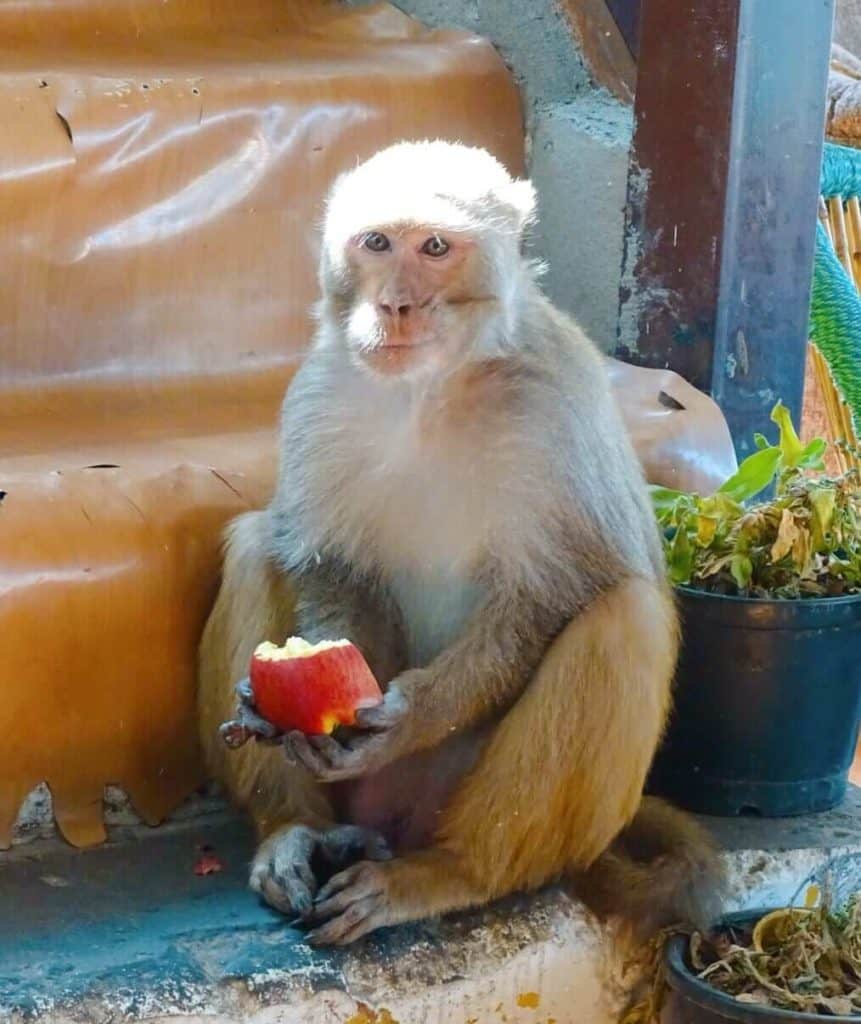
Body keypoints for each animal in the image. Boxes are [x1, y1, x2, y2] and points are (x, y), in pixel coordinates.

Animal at [197, 139, 723, 947]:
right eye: (377, 244)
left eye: (436, 248)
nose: (395, 304)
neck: (431, 387)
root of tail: (394, 820)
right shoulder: (320, 391)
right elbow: (327, 562)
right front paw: (299, 715)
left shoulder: (556, 404)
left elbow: (558, 589)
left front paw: (407, 717)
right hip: (361, 800)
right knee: (256, 543)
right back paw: (293, 829)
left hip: (453, 794)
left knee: (621, 617)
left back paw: (454, 871)